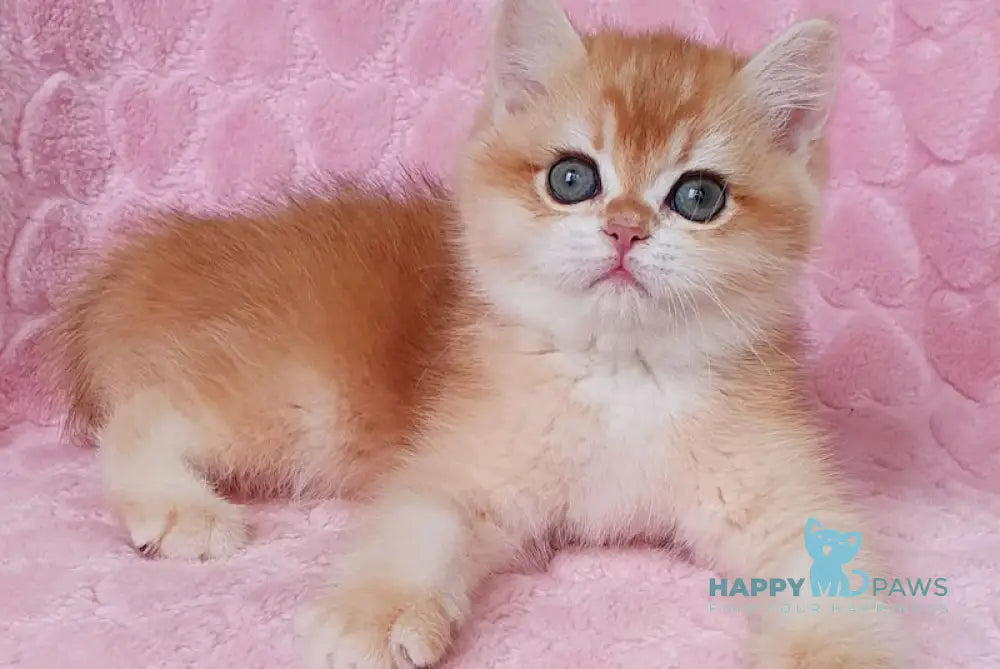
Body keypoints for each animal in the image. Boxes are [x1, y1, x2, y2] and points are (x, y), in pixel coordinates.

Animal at [50, 1, 904, 668]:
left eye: (699, 196)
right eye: (572, 178)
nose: (625, 229)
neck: (622, 372)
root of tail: (159, 254)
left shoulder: (781, 495)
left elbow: (830, 568)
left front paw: (837, 653)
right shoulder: (457, 463)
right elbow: (417, 527)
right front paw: (379, 612)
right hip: (301, 399)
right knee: (142, 413)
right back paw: (178, 506)